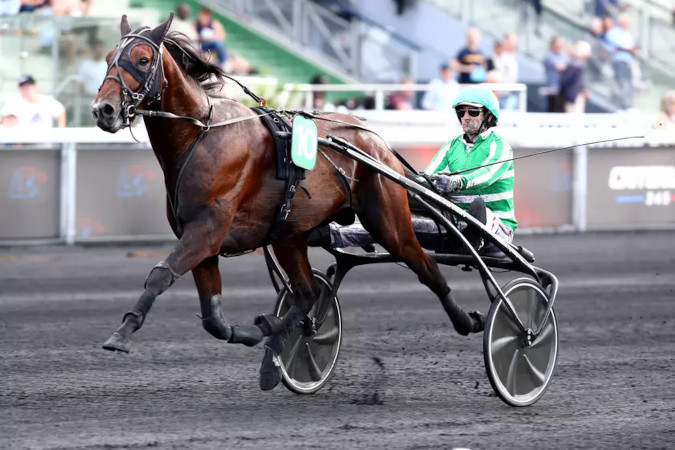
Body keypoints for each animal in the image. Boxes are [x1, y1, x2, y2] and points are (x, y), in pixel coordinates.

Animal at [93, 14, 486, 390]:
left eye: (142, 59)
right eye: (109, 58)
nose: (103, 110)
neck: (201, 135)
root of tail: (375, 140)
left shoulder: (206, 231)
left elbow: (160, 274)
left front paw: (121, 333)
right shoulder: (202, 241)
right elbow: (214, 320)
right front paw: (258, 330)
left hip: (388, 221)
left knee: (426, 267)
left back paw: (470, 320)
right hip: (290, 235)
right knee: (307, 293)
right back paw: (277, 346)